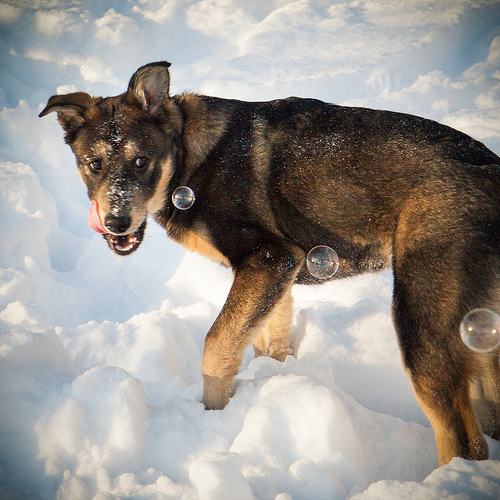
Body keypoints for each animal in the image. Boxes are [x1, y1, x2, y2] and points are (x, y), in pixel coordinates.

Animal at [40, 61, 500, 464]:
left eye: (140, 161)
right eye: (93, 164)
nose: (115, 223)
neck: (187, 158)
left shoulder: (269, 257)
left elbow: (215, 346)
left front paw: (212, 416)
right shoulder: (281, 270)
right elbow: (266, 340)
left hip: (422, 319)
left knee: (461, 438)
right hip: (479, 329)